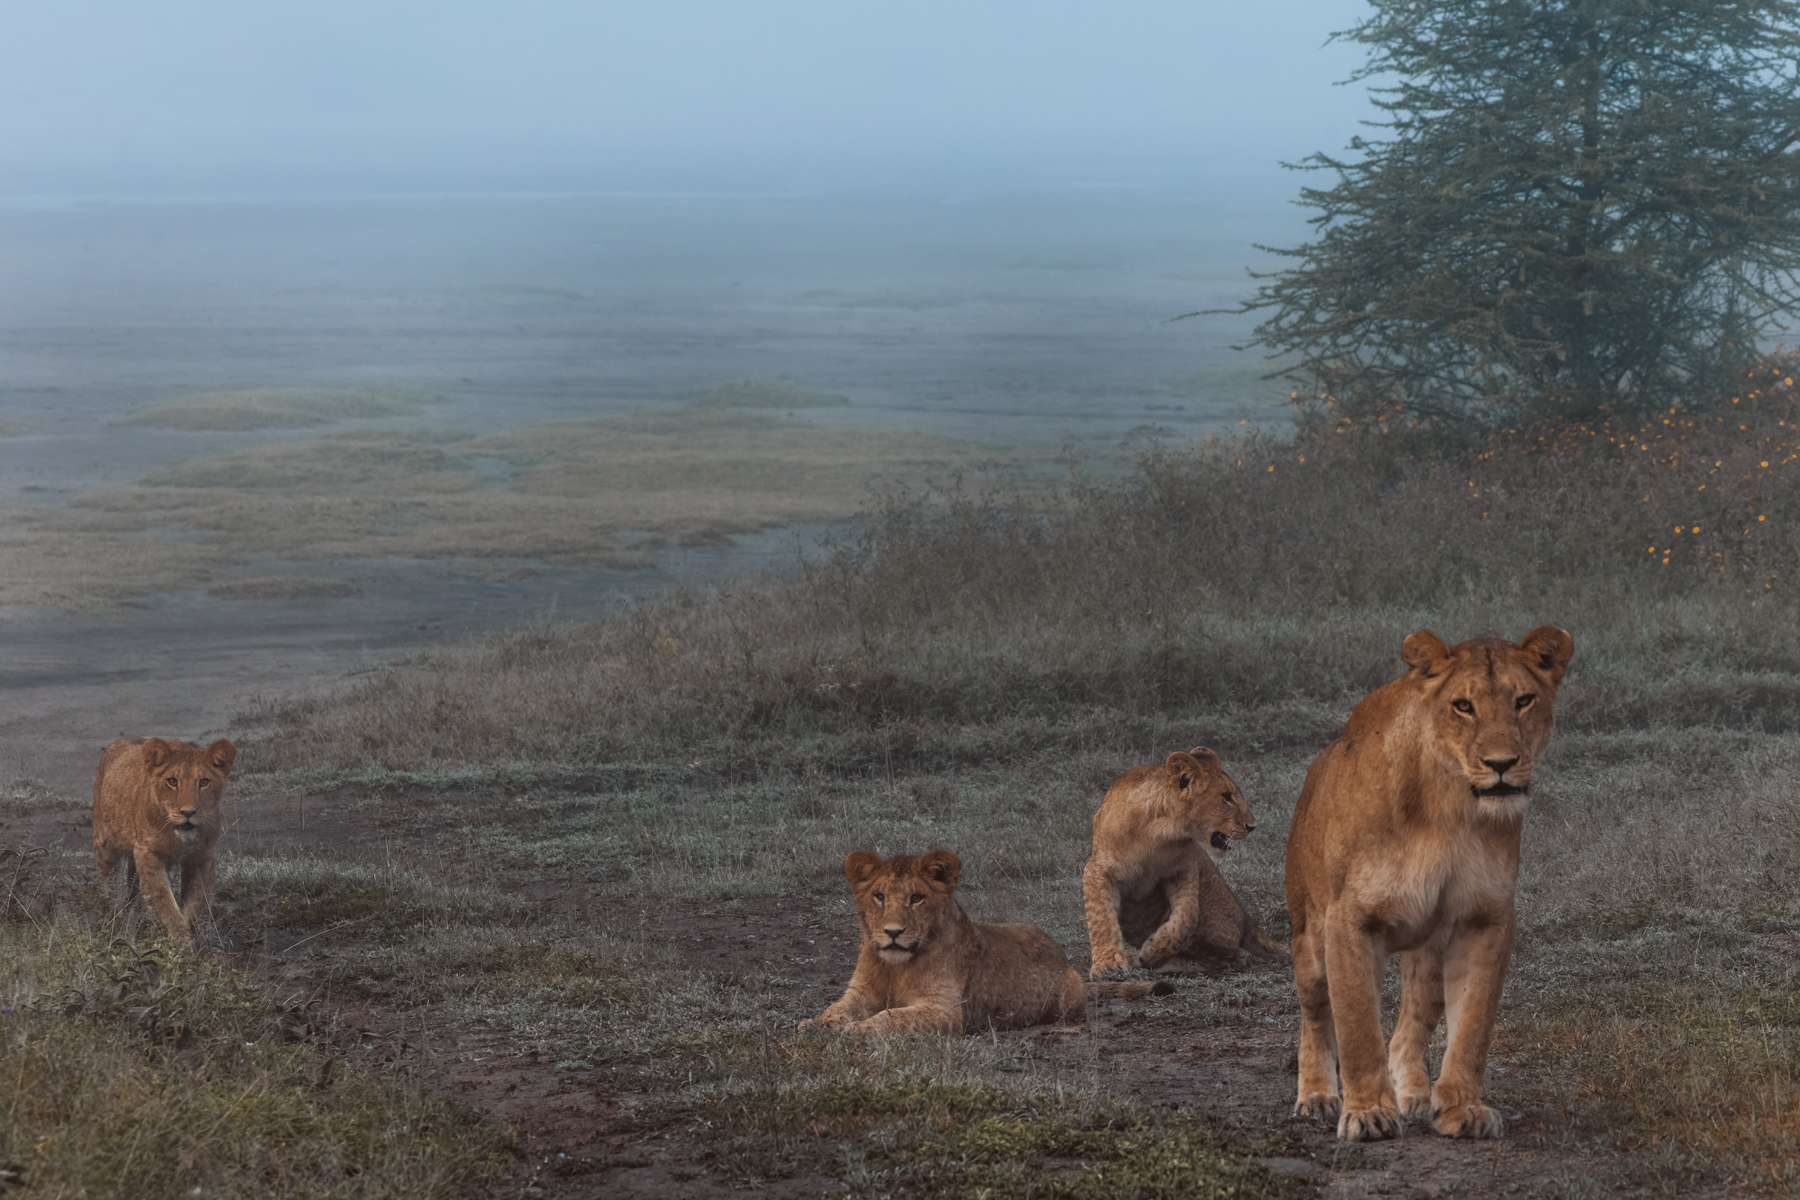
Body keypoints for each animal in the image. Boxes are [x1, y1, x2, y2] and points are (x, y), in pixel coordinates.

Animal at [93, 737, 237, 943]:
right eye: (172, 781)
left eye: (203, 782)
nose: (188, 813)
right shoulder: (148, 853)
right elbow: (165, 902)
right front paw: (182, 944)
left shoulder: (201, 857)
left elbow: (194, 904)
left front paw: (186, 937)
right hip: (105, 842)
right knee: (108, 880)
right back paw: (112, 913)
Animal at [802, 850, 1170, 1034]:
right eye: (879, 896)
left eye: (916, 898)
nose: (892, 932)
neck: (894, 966)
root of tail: (1068, 963)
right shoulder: (859, 993)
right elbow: (836, 1008)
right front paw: (816, 1024)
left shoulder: (945, 1010)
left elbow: (890, 1017)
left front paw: (855, 1030)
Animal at [1083, 747, 1287, 975]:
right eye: (1227, 797)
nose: (1253, 826)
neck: (1159, 832)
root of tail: (1246, 920)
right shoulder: (1098, 870)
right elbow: (1101, 918)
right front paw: (1107, 963)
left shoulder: (1184, 870)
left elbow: (1187, 918)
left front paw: (1154, 950)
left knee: (1227, 959)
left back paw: (1150, 961)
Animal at [1286, 626, 1573, 1142]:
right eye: (1463, 706)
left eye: (1524, 700)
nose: (1502, 763)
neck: (1448, 803)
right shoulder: (1348, 921)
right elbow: (1357, 1027)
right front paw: (1368, 1113)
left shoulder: (1485, 918)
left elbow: (1474, 1025)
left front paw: (1462, 1108)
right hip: (1310, 939)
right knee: (1315, 1015)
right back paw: (1317, 1096)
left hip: (1429, 955)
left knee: (1408, 1028)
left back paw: (1415, 1095)